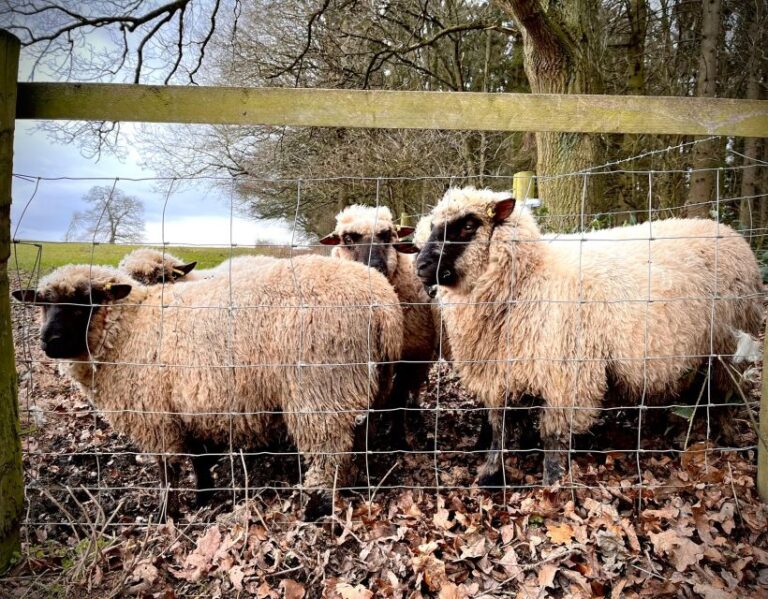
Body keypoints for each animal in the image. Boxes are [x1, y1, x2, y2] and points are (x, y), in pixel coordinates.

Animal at [13, 258, 402, 520]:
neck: (129, 329)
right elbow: (199, 459)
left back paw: (316, 507)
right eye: (42, 303)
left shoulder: (155, 416)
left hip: (319, 390)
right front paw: (203, 497)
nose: (48, 342)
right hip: (367, 385)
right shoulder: (192, 407)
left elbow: (168, 471)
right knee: (357, 441)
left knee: (328, 454)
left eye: (86, 301)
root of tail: (386, 306)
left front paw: (166, 514)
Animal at [318, 206, 438, 446]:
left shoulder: (412, 355)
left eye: (386, 235)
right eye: (347, 239)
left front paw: (398, 438)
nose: (374, 268)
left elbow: (398, 397)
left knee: (414, 386)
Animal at [414, 185, 760, 486]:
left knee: (725, 396)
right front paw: (489, 474)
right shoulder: (501, 369)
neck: (530, 278)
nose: (420, 265)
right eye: (433, 226)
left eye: (468, 225)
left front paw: (551, 481)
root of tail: (730, 233)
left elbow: (552, 436)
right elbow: (499, 428)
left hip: (730, 346)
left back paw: (728, 437)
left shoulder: (566, 374)